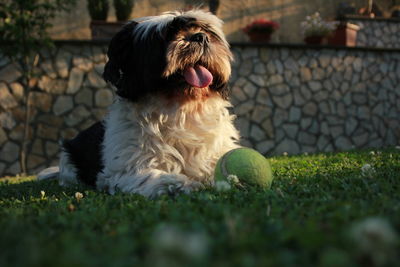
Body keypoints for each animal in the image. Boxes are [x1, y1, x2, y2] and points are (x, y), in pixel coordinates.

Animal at [38, 9, 241, 199]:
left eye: (206, 31)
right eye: (166, 36)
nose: (200, 37)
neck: (181, 109)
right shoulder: (127, 167)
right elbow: (156, 177)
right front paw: (183, 184)